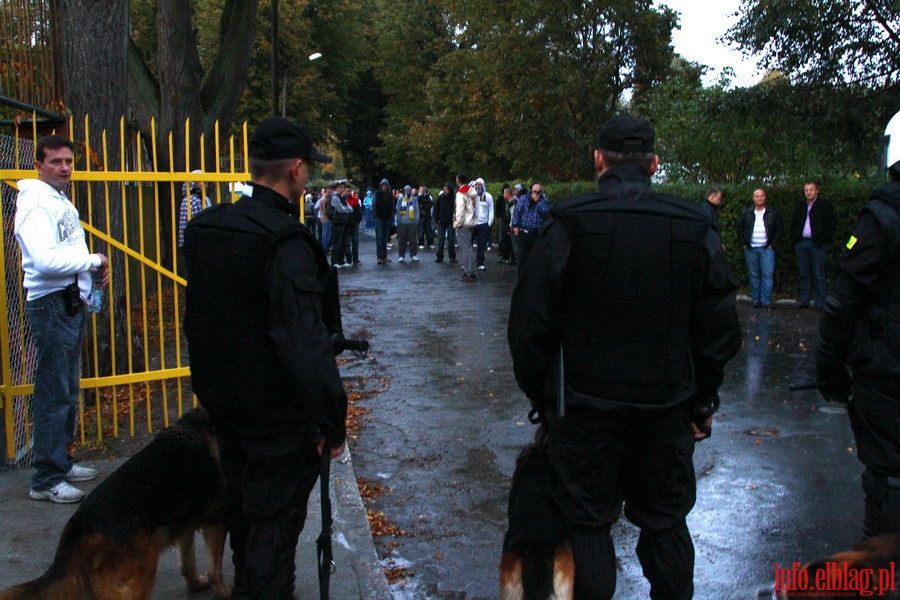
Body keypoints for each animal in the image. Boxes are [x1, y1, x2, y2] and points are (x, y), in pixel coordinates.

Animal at [0, 408, 230, 600]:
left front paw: (196, 584)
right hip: (136, 585)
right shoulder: (217, 522)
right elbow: (214, 572)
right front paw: (225, 592)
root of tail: (80, 525)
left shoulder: (186, 523)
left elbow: (188, 563)